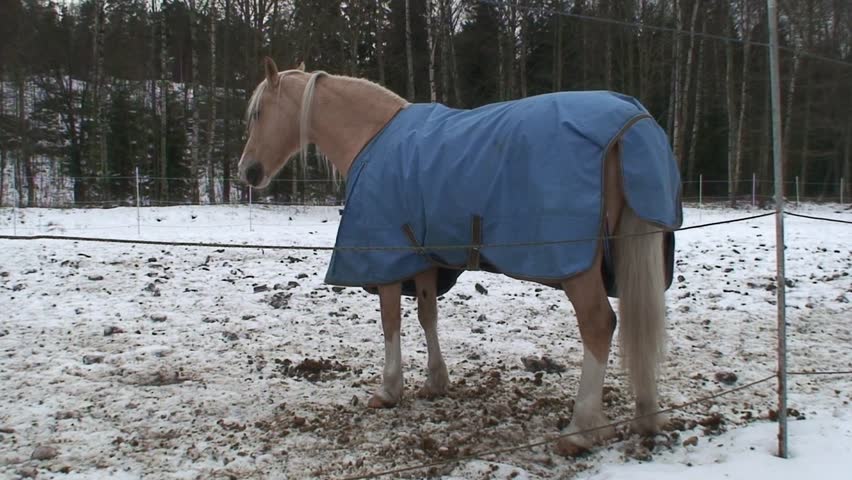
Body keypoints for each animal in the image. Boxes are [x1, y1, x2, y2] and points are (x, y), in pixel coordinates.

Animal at [237, 57, 682, 455]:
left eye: (258, 113)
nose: (247, 171)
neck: (373, 135)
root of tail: (634, 124)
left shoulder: (386, 260)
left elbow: (390, 321)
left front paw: (389, 388)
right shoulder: (422, 259)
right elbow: (427, 315)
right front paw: (436, 382)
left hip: (579, 267)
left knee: (599, 325)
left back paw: (580, 430)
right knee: (640, 319)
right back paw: (647, 414)